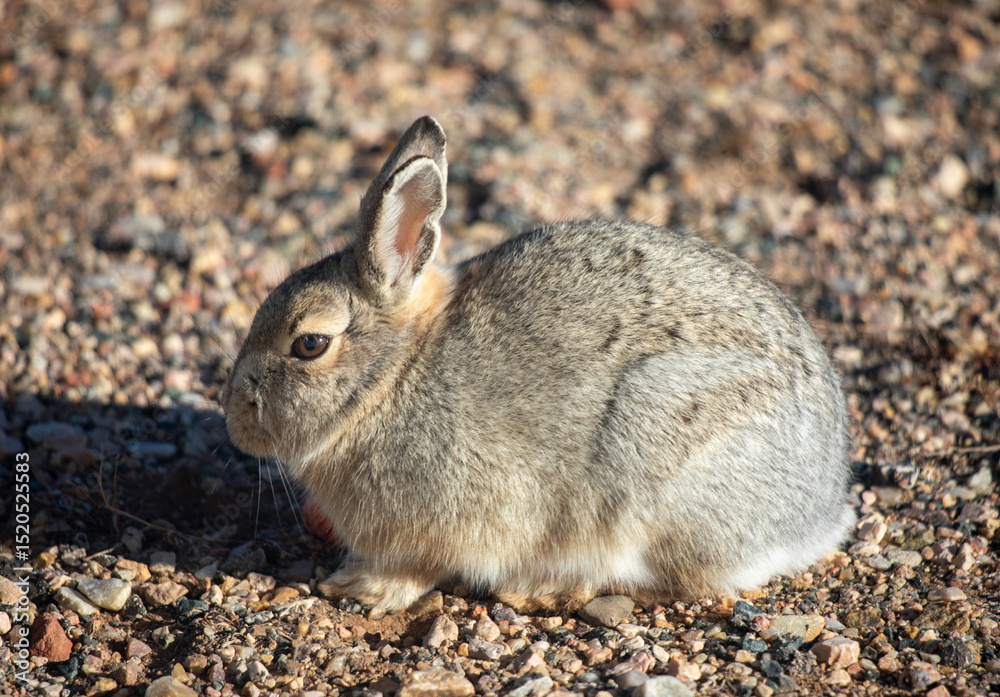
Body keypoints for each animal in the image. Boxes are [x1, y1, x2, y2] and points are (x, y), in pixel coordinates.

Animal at [222, 116, 855, 613]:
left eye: (309, 344)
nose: (233, 418)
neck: (391, 379)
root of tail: (819, 512)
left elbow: (417, 570)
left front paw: (362, 589)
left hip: (654, 457)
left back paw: (542, 589)